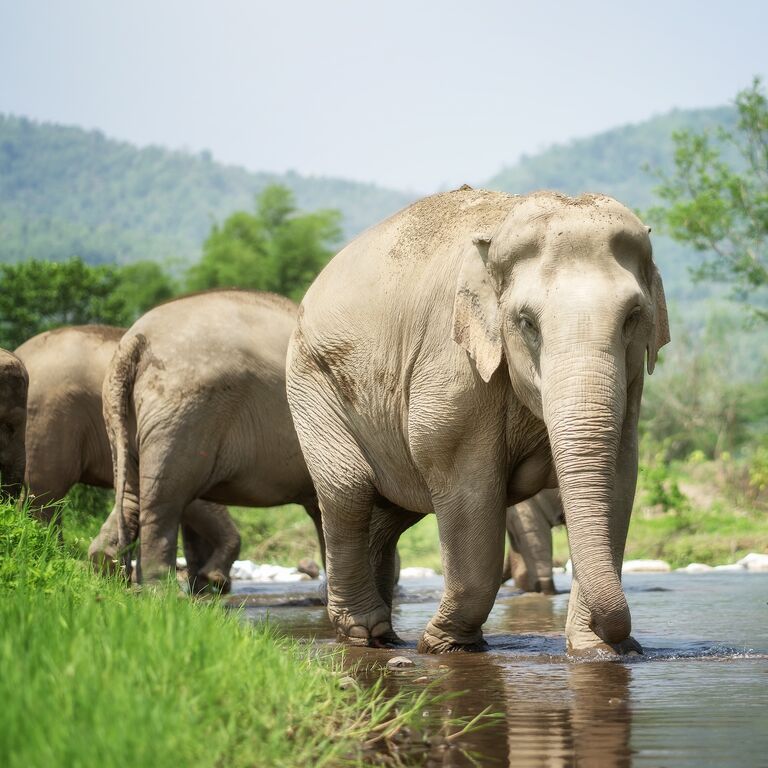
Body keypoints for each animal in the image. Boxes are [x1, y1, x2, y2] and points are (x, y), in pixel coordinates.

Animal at [14, 325, 240, 591]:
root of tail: (19, 354)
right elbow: (194, 500)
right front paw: (215, 582)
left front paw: (204, 588)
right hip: (50, 419)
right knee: (46, 492)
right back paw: (55, 558)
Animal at [100, 289, 327, 591]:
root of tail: (134, 342)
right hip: (185, 412)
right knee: (163, 503)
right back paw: (161, 592)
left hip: (122, 416)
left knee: (129, 498)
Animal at [286, 187, 669, 655]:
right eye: (526, 322)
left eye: (633, 317)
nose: (626, 641)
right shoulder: (453, 363)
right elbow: (467, 482)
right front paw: (443, 645)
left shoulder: (632, 385)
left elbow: (620, 475)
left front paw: (596, 651)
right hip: (311, 381)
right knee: (349, 488)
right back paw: (365, 633)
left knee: (388, 513)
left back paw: (385, 634)